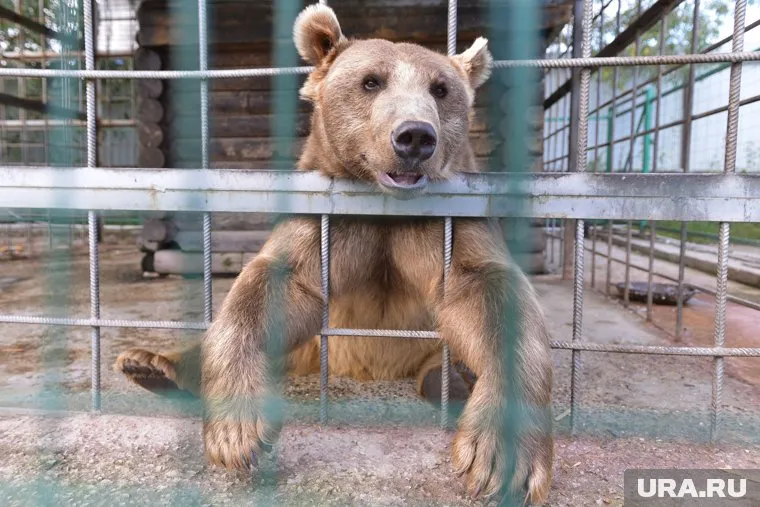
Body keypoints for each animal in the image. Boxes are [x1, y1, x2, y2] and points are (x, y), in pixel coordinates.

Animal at [114, 4, 554, 503]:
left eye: (440, 89)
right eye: (371, 81)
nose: (415, 137)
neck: (384, 203)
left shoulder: (449, 225)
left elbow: (486, 291)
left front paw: (503, 456)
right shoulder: (327, 222)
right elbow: (276, 284)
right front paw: (237, 432)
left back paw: (456, 378)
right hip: (311, 348)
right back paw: (151, 366)